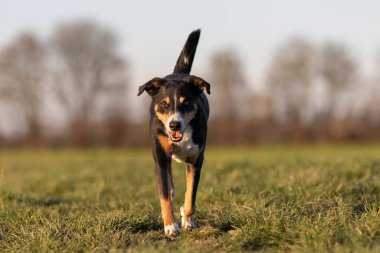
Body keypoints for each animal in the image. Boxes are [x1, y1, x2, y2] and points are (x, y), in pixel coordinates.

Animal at [137, 29, 211, 237]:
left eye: (186, 103)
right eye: (164, 104)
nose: (174, 125)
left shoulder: (196, 161)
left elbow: (190, 198)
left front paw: (187, 220)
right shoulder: (160, 158)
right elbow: (164, 197)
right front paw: (171, 226)